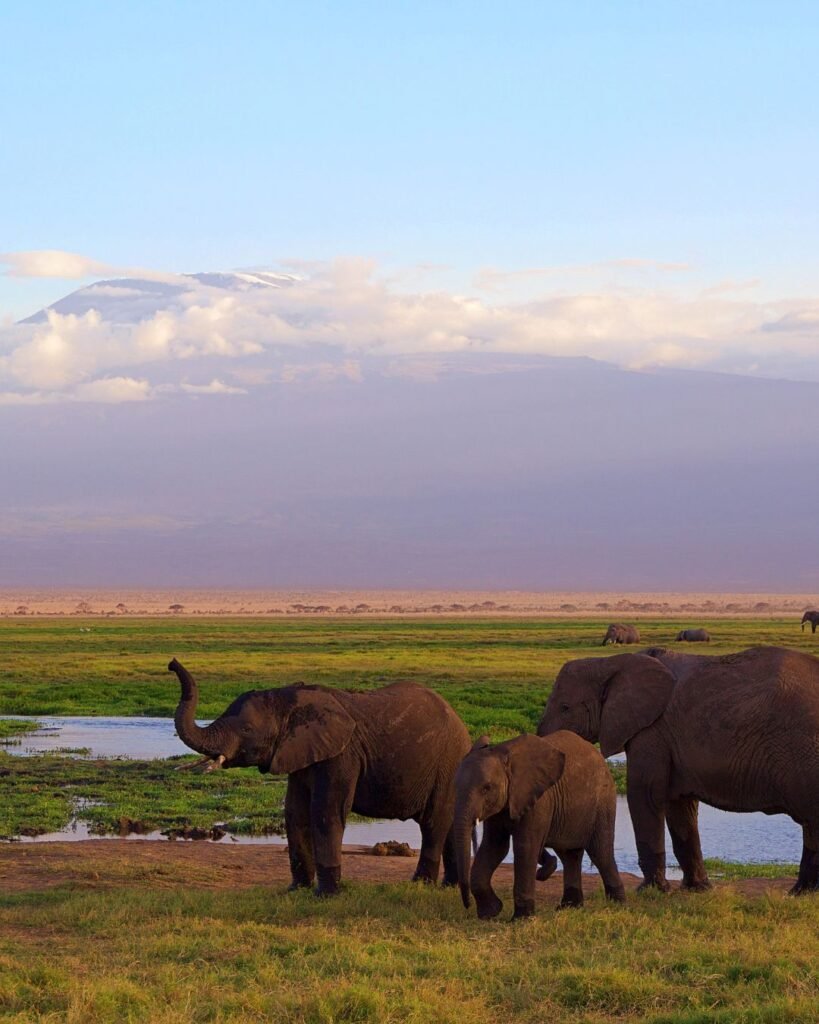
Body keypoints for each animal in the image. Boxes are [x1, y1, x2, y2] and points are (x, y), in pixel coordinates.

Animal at [169, 658, 471, 895]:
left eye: (246, 729)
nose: (171, 663)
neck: (287, 700)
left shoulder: (341, 755)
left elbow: (325, 813)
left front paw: (325, 895)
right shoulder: (299, 754)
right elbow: (295, 812)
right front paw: (295, 891)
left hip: (447, 764)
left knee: (433, 823)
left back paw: (421, 885)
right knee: (449, 825)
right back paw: (450, 887)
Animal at [454, 732, 625, 919]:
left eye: (487, 788)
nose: (467, 905)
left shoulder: (539, 801)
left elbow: (525, 847)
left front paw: (521, 918)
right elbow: (494, 847)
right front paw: (490, 912)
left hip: (603, 802)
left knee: (600, 853)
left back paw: (617, 906)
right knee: (569, 855)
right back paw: (570, 908)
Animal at [538, 646, 819, 895]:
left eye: (565, 707)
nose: (544, 872)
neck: (610, 662)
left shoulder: (652, 731)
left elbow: (644, 795)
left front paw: (650, 890)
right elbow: (679, 806)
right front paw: (696, 889)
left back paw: (800, 892)